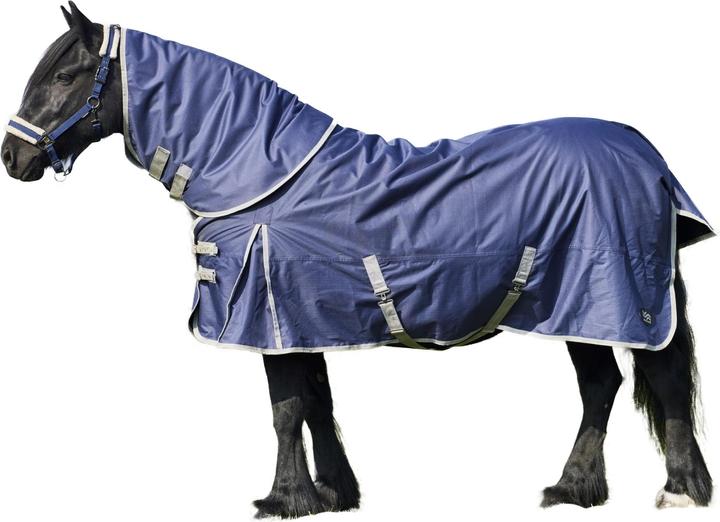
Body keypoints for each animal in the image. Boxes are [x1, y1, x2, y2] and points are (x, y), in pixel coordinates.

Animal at [2, 3, 714, 518]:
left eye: (64, 76)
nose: (14, 157)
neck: (258, 170)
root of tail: (646, 155)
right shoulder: (301, 320)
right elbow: (316, 403)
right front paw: (334, 495)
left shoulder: (271, 315)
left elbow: (287, 409)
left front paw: (283, 500)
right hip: (572, 307)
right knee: (603, 386)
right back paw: (575, 490)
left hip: (614, 298)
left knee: (660, 379)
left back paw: (676, 489)